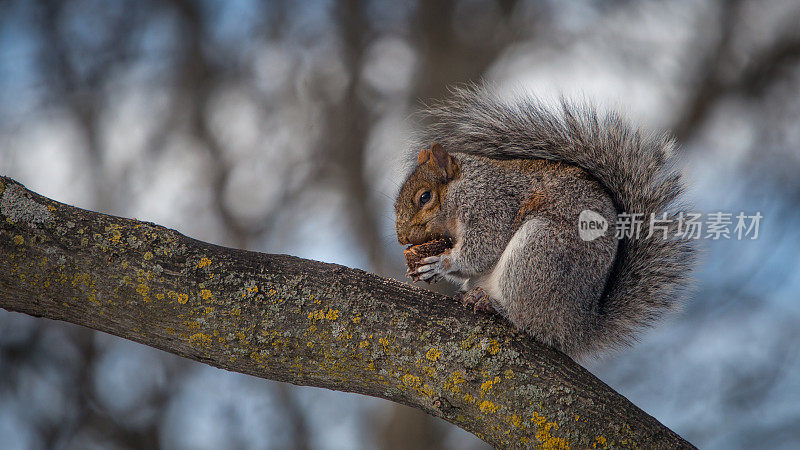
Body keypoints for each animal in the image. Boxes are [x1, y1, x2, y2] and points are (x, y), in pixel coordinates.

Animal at [396, 86, 696, 356]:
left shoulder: (492, 205)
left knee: (529, 322)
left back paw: (495, 305)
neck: (464, 187)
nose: (402, 238)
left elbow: (482, 249)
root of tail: (577, 328)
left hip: (539, 252)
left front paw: (441, 262)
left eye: (424, 197)